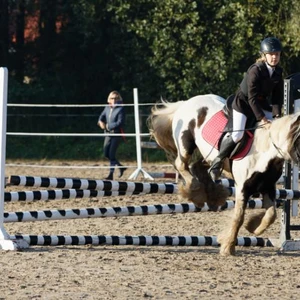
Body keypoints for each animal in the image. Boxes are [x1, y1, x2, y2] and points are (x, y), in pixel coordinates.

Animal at [148, 94, 300, 255]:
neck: (265, 151)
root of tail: (186, 102)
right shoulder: (242, 188)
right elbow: (239, 217)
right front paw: (228, 246)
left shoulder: (268, 186)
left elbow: (271, 215)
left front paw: (253, 227)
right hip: (185, 143)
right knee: (181, 164)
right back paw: (196, 190)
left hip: (207, 154)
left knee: (199, 166)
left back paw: (212, 194)